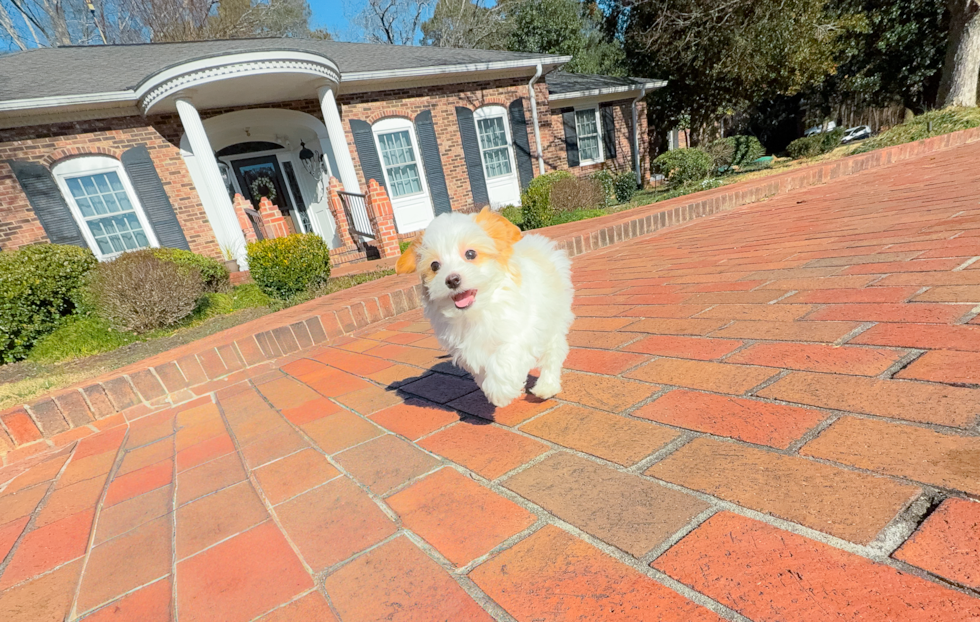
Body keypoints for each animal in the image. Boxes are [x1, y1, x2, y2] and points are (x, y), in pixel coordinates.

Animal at [394, 207, 572, 410]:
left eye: (471, 254)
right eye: (434, 265)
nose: (452, 280)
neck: (477, 309)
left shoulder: (520, 329)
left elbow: (505, 356)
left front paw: (500, 392)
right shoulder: (466, 346)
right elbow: (479, 365)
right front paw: (492, 385)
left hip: (553, 318)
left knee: (553, 351)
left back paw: (546, 386)